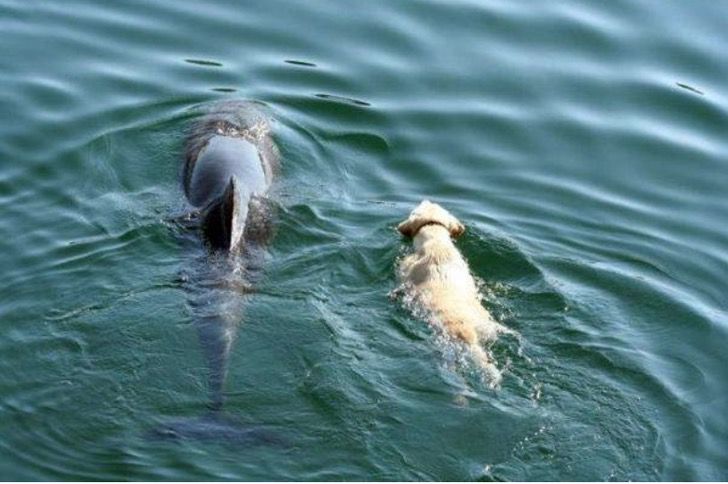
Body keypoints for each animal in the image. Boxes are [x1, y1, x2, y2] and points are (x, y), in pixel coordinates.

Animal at [398, 199, 506, 382]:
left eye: (416, 209)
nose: (426, 199)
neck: (436, 243)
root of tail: (469, 334)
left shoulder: (405, 269)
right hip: (487, 328)